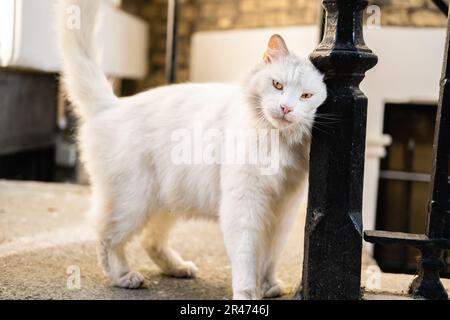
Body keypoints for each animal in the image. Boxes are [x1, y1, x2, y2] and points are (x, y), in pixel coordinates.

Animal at [58, 0, 326, 300]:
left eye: (306, 96)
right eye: (277, 85)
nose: (286, 108)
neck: (277, 140)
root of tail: (113, 105)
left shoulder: (282, 212)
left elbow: (269, 256)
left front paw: (268, 286)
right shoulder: (243, 204)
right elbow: (246, 257)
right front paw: (247, 294)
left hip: (164, 202)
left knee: (150, 240)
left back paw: (178, 268)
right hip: (132, 202)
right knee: (108, 238)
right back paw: (124, 276)